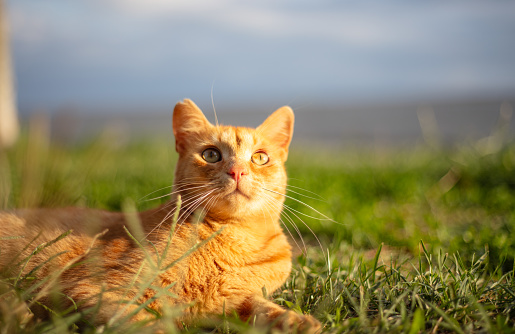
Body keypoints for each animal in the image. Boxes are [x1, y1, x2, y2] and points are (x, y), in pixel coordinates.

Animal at [0, 98, 320, 332]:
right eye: (212, 155)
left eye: (259, 157)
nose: (237, 171)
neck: (235, 239)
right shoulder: (100, 289)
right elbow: (147, 324)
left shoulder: (232, 300)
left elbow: (261, 309)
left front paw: (296, 322)